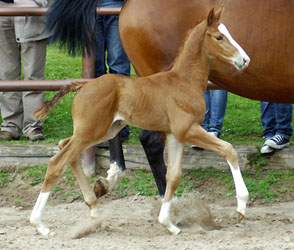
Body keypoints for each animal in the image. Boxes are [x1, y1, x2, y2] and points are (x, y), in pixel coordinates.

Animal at [30, 6, 250, 235]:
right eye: (219, 37)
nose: (244, 60)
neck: (183, 82)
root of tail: (83, 86)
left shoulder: (175, 135)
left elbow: (173, 175)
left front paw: (168, 223)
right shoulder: (187, 130)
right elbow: (228, 149)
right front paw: (241, 207)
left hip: (103, 130)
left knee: (65, 147)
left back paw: (94, 208)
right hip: (91, 131)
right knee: (57, 162)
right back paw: (40, 225)